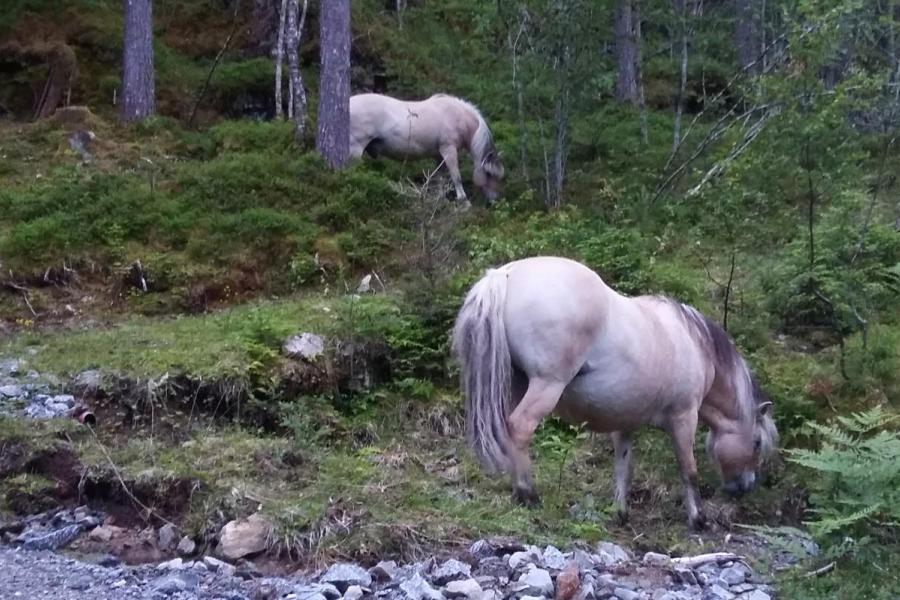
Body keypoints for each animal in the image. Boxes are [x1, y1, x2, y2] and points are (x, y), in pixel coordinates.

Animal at [350, 92, 506, 206]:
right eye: (489, 174)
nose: (494, 201)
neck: (457, 116)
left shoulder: (439, 156)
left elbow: (440, 179)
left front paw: (441, 200)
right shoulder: (449, 150)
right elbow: (456, 177)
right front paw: (464, 202)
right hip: (356, 150)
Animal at [454, 255, 776, 528]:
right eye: (757, 443)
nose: (744, 487)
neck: (695, 344)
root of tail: (505, 274)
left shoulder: (625, 422)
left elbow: (623, 467)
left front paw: (620, 512)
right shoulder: (684, 418)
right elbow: (689, 470)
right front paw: (698, 519)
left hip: (515, 385)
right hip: (546, 386)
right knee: (520, 427)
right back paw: (527, 494)